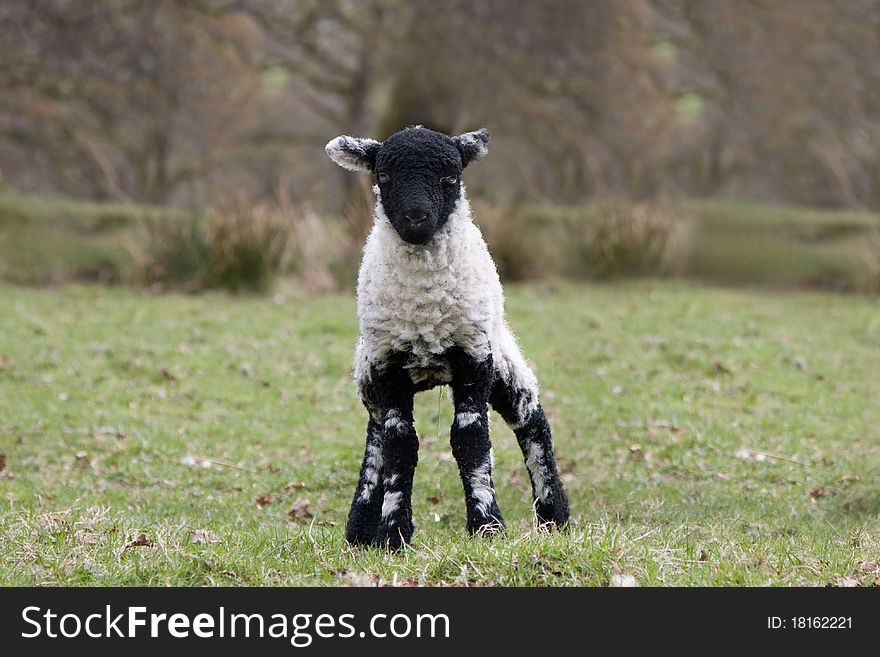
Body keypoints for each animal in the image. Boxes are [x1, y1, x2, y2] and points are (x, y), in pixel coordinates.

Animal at [326, 125, 568, 544]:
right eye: (383, 176)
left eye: (451, 177)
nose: (416, 217)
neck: (426, 310)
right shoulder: (387, 363)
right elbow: (400, 443)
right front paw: (392, 533)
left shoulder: (473, 356)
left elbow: (470, 439)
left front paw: (487, 526)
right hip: (369, 373)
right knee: (376, 436)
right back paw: (359, 526)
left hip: (500, 357)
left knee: (532, 421)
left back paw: (554, 516)